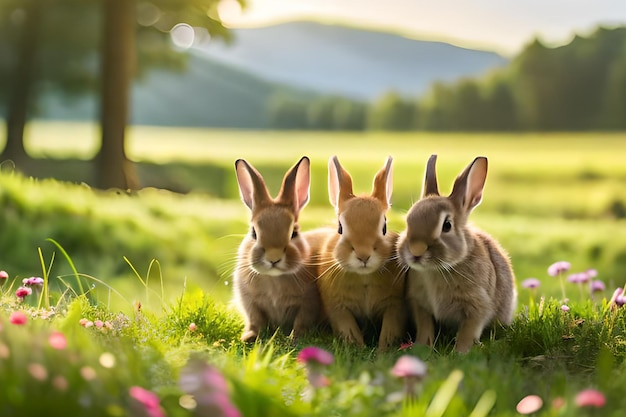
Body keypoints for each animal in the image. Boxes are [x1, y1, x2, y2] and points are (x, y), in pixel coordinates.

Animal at [233, 155, 322, 342]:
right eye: (254, 232)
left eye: (294, 233)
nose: (273, 258)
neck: (274, 278)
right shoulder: (249, 302)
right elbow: (255, 320)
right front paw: (248, 337)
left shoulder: (308, 303)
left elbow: (301, 321)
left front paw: (294, 339)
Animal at [314, 156, 408, 352]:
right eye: (340, 227)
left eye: (384, 227)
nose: (363, 256)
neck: (364, 276)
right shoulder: (338, 308)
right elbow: (348, 327)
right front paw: (358, 347)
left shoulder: (395, 305)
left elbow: (390, 328)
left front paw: (383, 350)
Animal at [398, 154, 516, 352]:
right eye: (408, 222)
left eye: (447, 225)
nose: (416, 251)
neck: (438, 269)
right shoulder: (420, 304)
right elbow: (425, 327)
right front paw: (422, 347)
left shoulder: (478, 305)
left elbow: (468, 330)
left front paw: (461, 351)